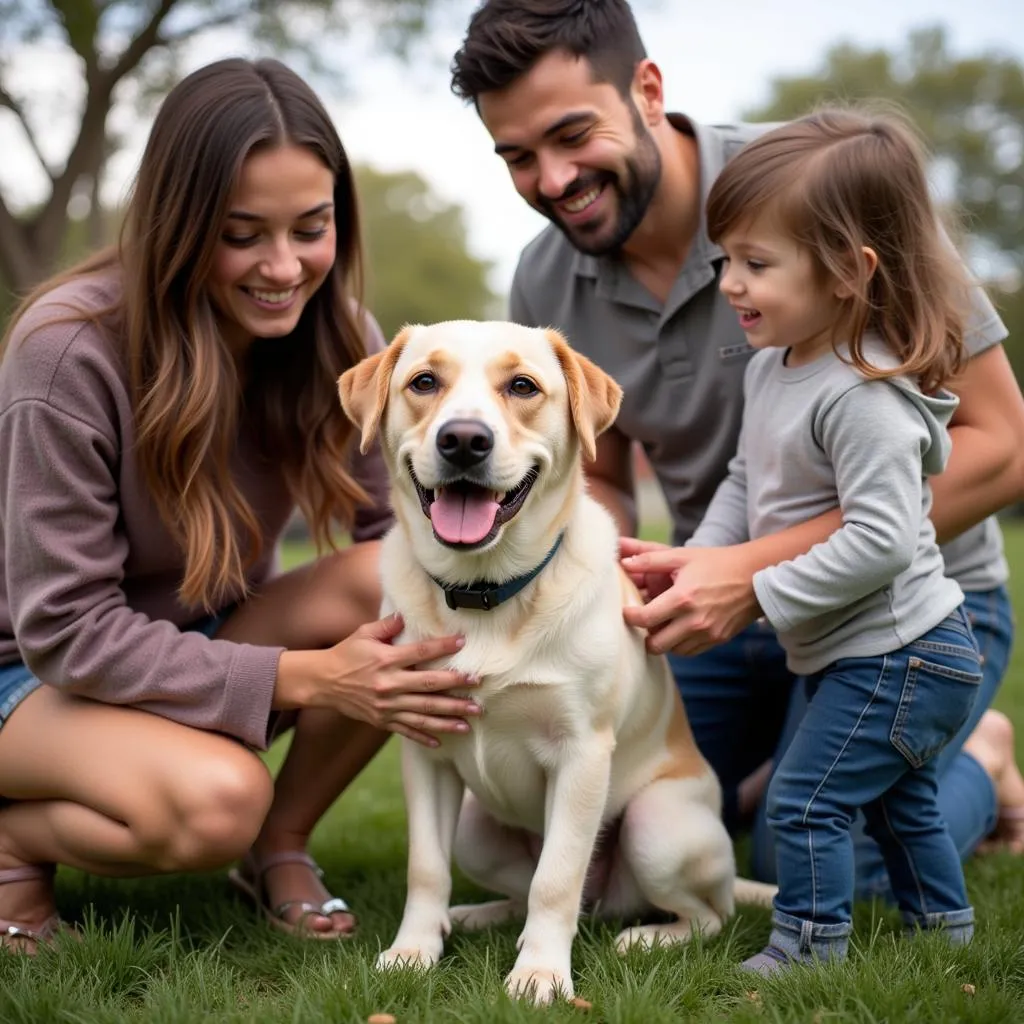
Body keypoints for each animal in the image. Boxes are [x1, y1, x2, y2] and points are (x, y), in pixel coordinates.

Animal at [339, 323, 770, 1003]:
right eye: (424, 382)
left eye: (522, 386)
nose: (464, 440)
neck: (485, 592)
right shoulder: (424, 750)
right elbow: (426, 868)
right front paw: (413, 952)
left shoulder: (582, 752)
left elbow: (557, 878)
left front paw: (541, 973)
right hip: (476, 830)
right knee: (524, 891)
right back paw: (475, 916)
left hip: (657, 826)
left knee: (706, 914)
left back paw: (647, 938)